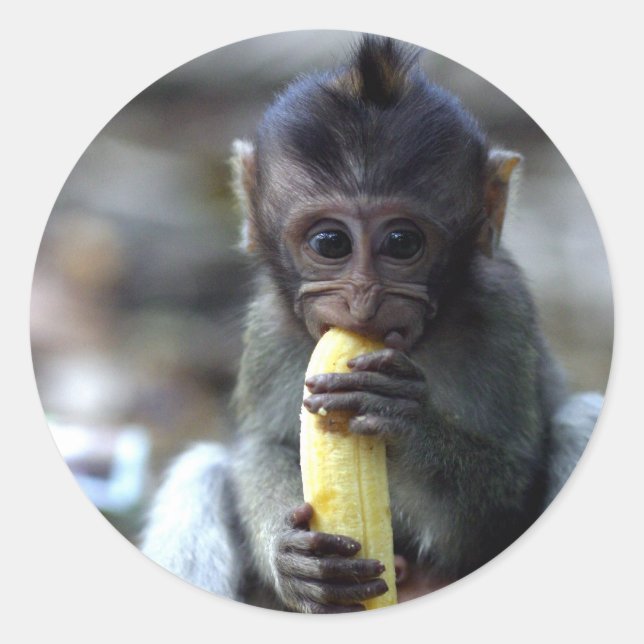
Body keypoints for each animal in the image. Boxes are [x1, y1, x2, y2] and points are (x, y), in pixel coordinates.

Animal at [140, 35, 602, 612]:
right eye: (330, 242)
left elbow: (504, 501)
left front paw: (402, 416)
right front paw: (289, 553)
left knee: (580, 417)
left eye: (402, 242)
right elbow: (261, 448)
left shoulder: (503, 314)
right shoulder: (270, 326)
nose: (363, 303)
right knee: (200, 469)